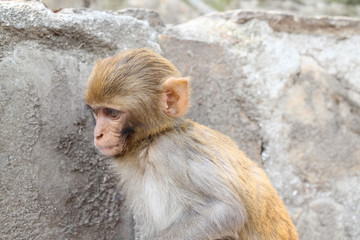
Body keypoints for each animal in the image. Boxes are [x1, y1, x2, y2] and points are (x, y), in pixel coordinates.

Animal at [84, 47, 298, 239]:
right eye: (97, 112)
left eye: (112, 113)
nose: (98, 134)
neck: (150, 141)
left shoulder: (168, 152)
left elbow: (227, 212)